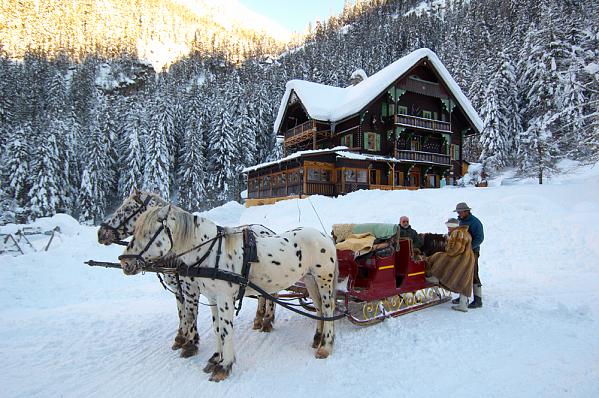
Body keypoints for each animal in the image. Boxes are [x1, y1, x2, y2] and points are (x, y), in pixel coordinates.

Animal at [97, 188, 278, 360]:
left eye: (127, 209)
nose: (101, 233)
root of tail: (268, 230)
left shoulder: (191, 289)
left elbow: (190, 314)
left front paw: (190, 344)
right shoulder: (178, 289)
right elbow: (181, 313)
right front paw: (181, 338)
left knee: (271, 296)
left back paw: (267, 321)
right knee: (263, 296)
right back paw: (259, 319)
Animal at [119, 205, 340, 382]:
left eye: (149, 232)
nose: (125, 263)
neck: (210, 251)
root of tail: (325, 236)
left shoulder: (224, 298)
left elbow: (225, 331)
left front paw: (224, 366)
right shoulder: (212, 298)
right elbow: (217, 329)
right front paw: (216, 359)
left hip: (323, 279)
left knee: (328, 309)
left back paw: (326, 346)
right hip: (310, 280)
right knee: (319, 309)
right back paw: (317, 338)